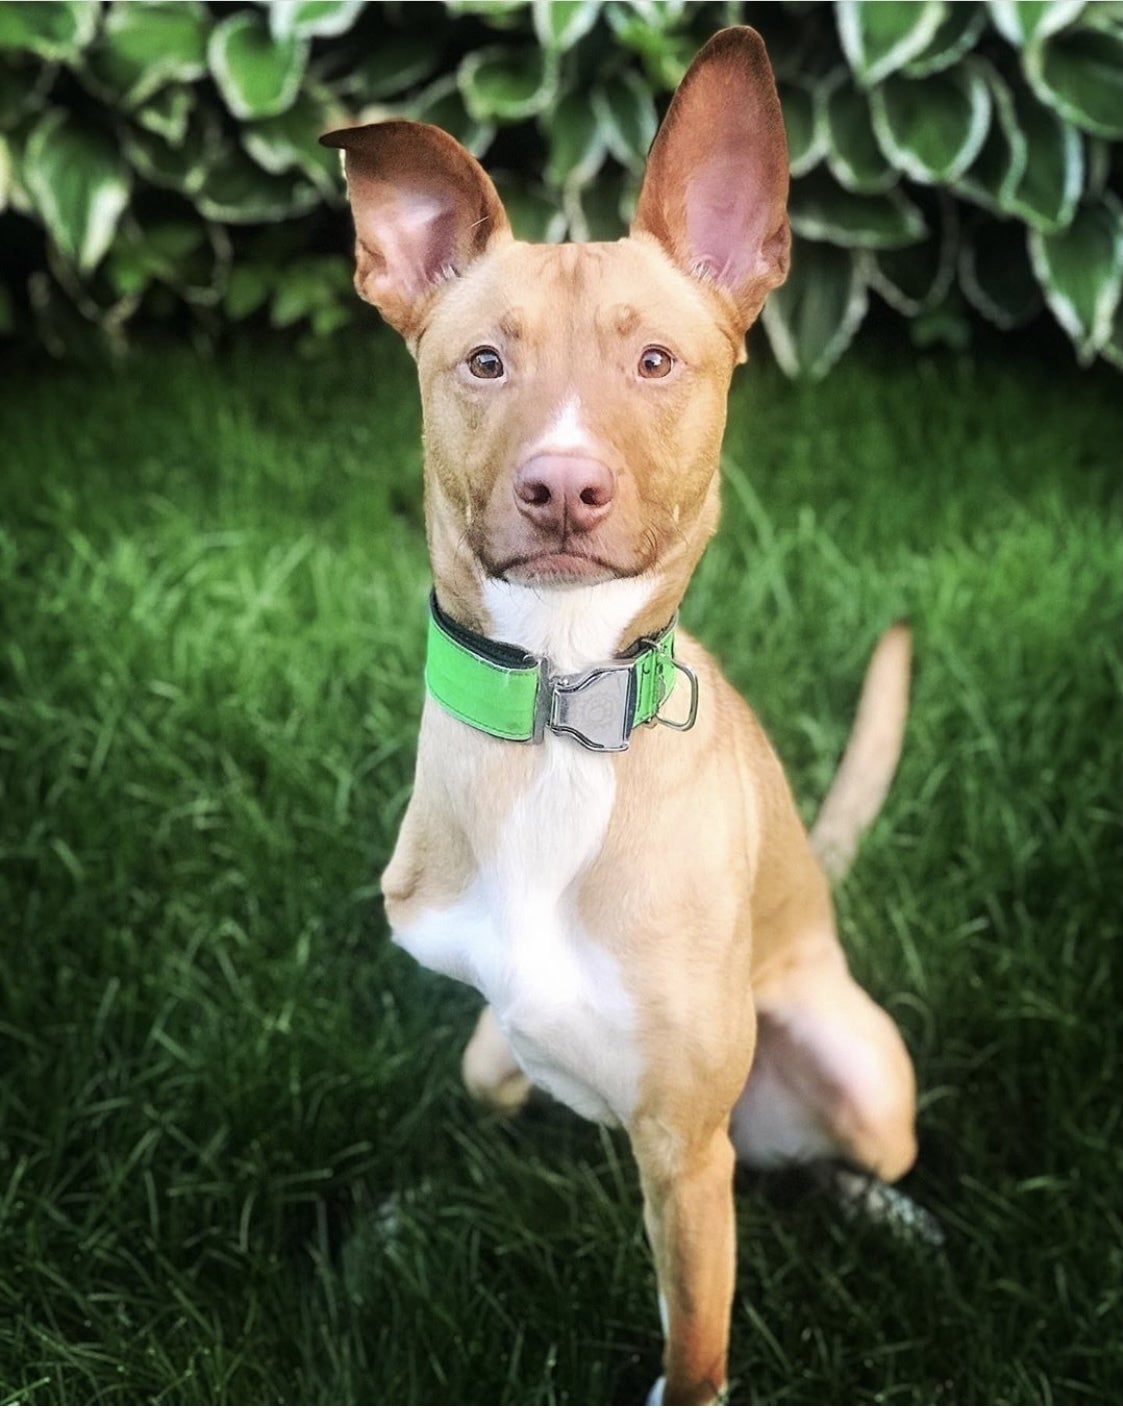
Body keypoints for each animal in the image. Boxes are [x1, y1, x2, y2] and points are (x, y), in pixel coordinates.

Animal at [323, 26, 918, 1405]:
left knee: (843, 1155)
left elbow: (692, 1351)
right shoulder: (495, 1025)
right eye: (484, 360)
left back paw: (896, 1217)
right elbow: (471, 1106)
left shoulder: (686, 1151)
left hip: (857, 1075)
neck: (557, 705)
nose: (562, 486)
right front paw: (392, 1229)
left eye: (657, 361)